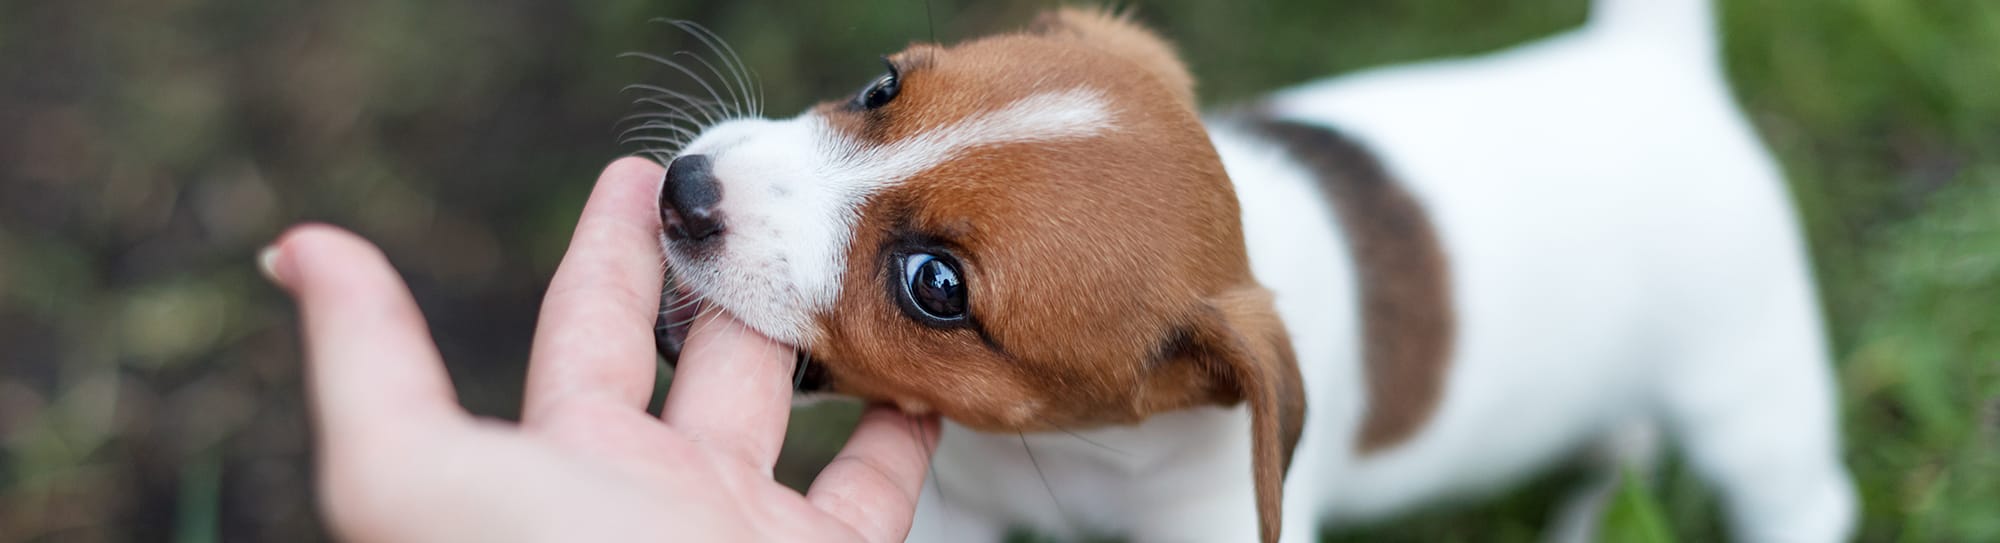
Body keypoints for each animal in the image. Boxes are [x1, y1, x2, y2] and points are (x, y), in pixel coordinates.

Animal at [652, 2, 1856, 539]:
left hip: (1749, 401)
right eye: (880, 86)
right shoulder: (956, 515)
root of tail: (1655, 63)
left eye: (934, 286)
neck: (1077, 454)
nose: (684, 190)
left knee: (1803, 496)